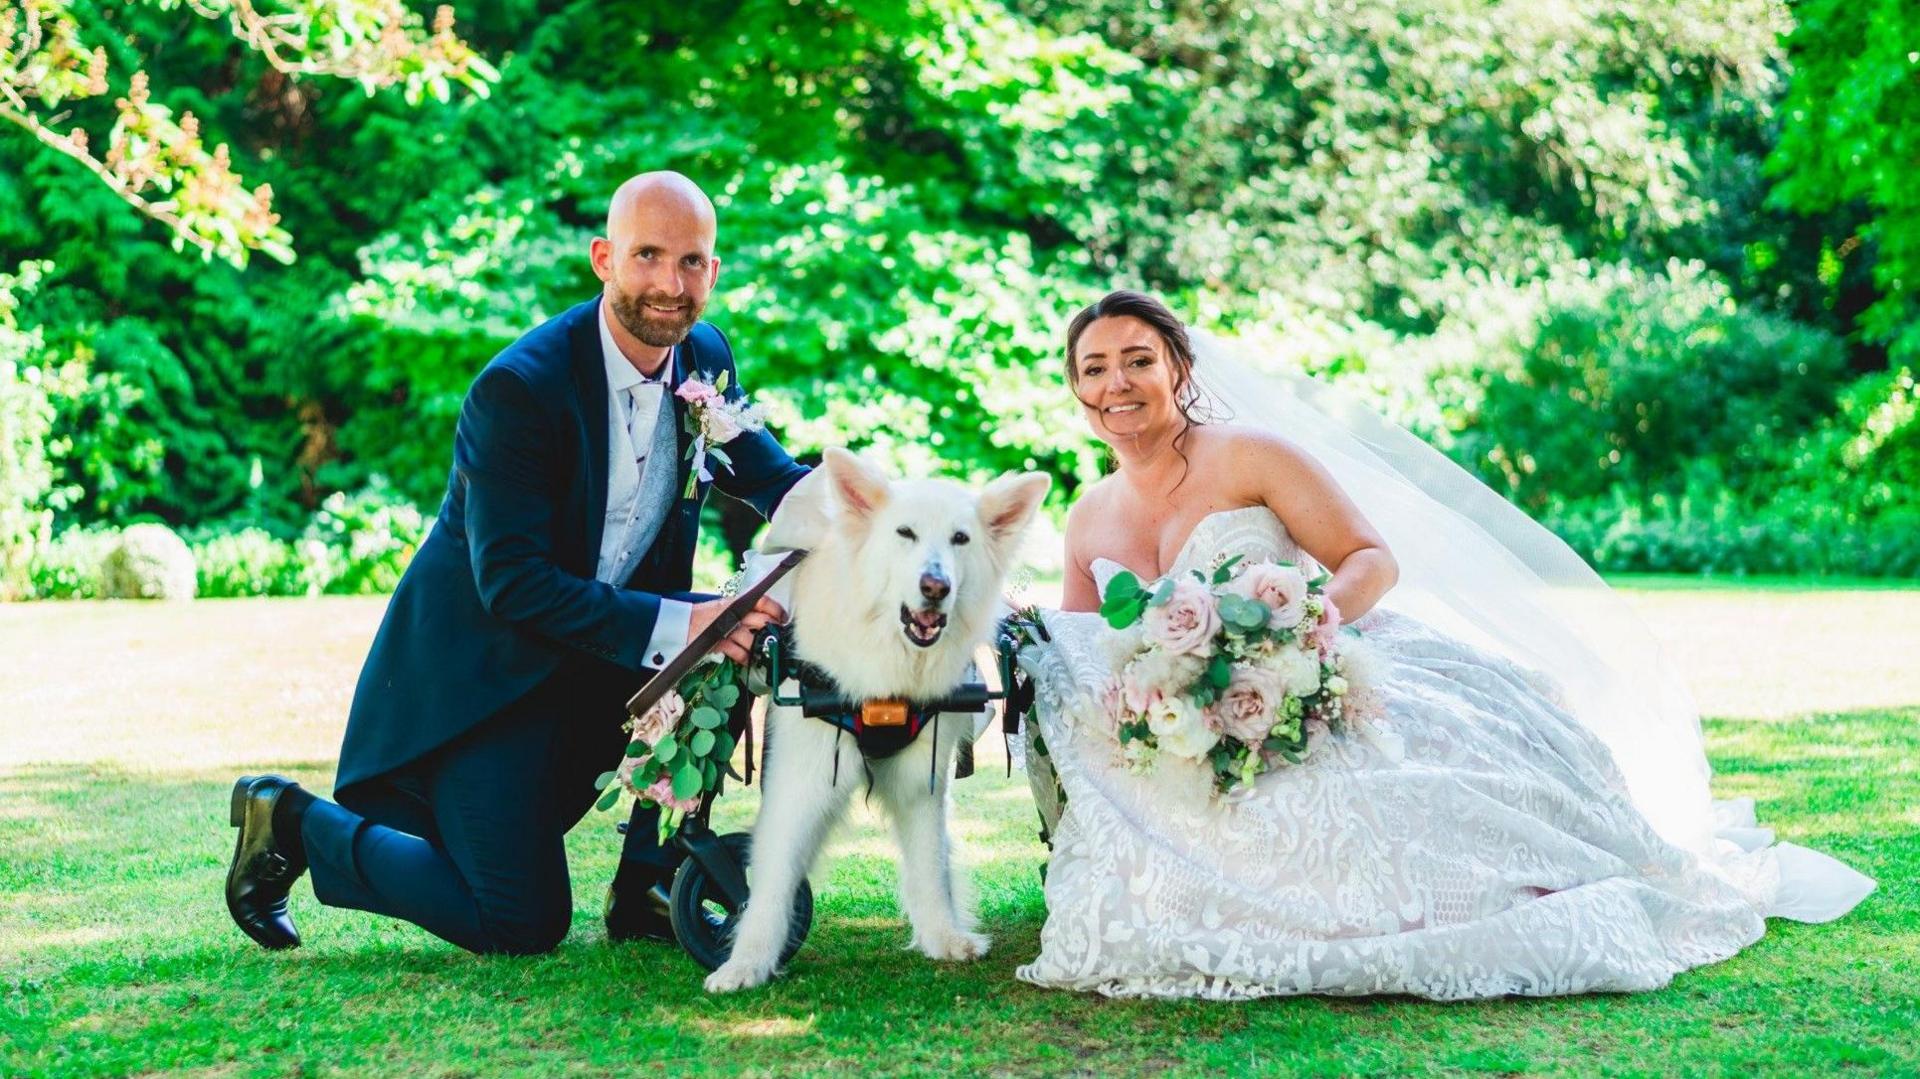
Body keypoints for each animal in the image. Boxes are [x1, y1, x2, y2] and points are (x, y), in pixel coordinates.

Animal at [702, 445, 1044, 990]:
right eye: (905, 533)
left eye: (961, 539)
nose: (935, 586)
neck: (890, 673)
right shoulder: (800, 781)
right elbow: (772, 878)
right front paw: (746, 964)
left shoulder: (923, 782)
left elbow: (929, 866)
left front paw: (942, 938)